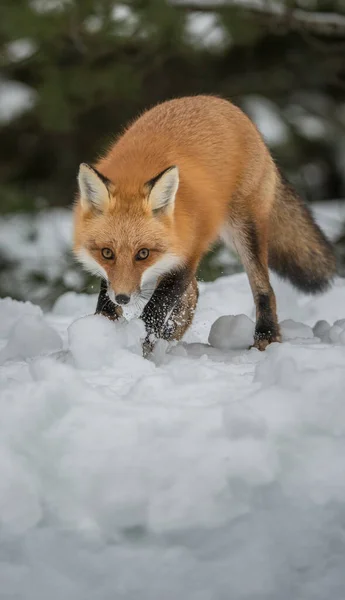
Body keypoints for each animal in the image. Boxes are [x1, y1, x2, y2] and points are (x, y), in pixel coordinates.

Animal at [73, 96, 336, 354]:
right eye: (107, 253)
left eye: (143, 254)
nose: (123, 298)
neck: (136, 174)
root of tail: (219, 102)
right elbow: (106, 302)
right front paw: (104, 335)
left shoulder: (187, 254)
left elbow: (155, 310)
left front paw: (140, 348)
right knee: (194, 293)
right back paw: (172, 336)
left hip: (245, 230)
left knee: (264, 289)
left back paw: (266, 337)